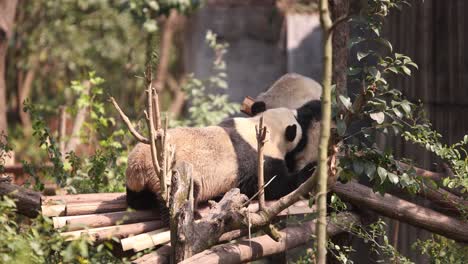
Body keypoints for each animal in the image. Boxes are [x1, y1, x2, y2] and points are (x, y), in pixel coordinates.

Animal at [126, 106, 318, 209]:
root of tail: (139, 164)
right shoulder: (259, 160)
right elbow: (274, 185)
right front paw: (310, 170)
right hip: (171, 174)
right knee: (182, 195)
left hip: (138, 183)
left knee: (137, 200)